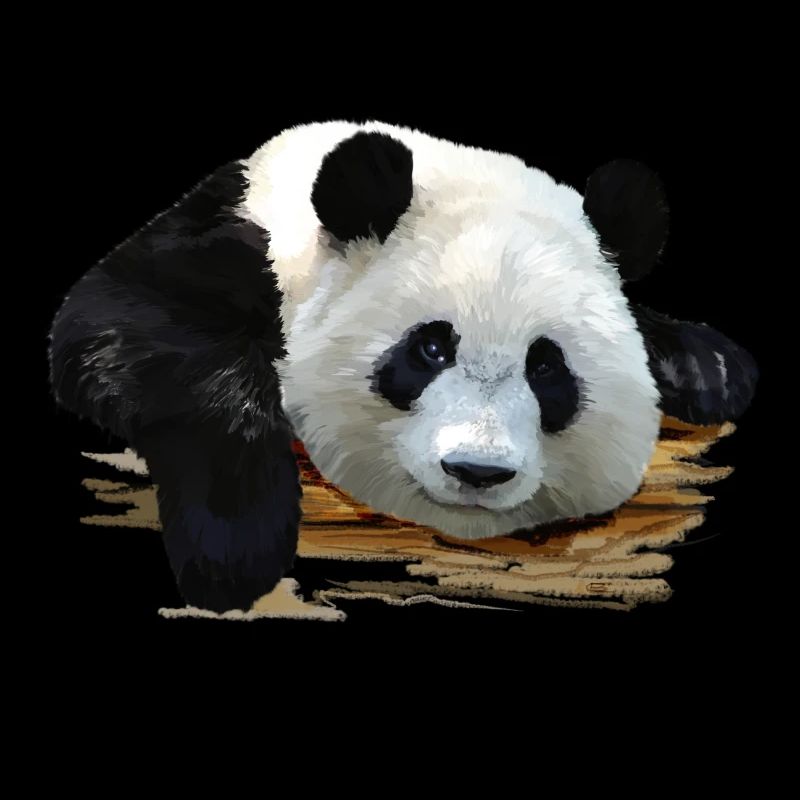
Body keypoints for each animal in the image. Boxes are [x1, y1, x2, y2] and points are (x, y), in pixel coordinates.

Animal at [48, 120, 758, 613]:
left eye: (546, 369)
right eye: (431, 349)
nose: (477, 471)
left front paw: (711, 368)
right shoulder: (227, 239)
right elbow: (120, 328)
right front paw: (234, 547)